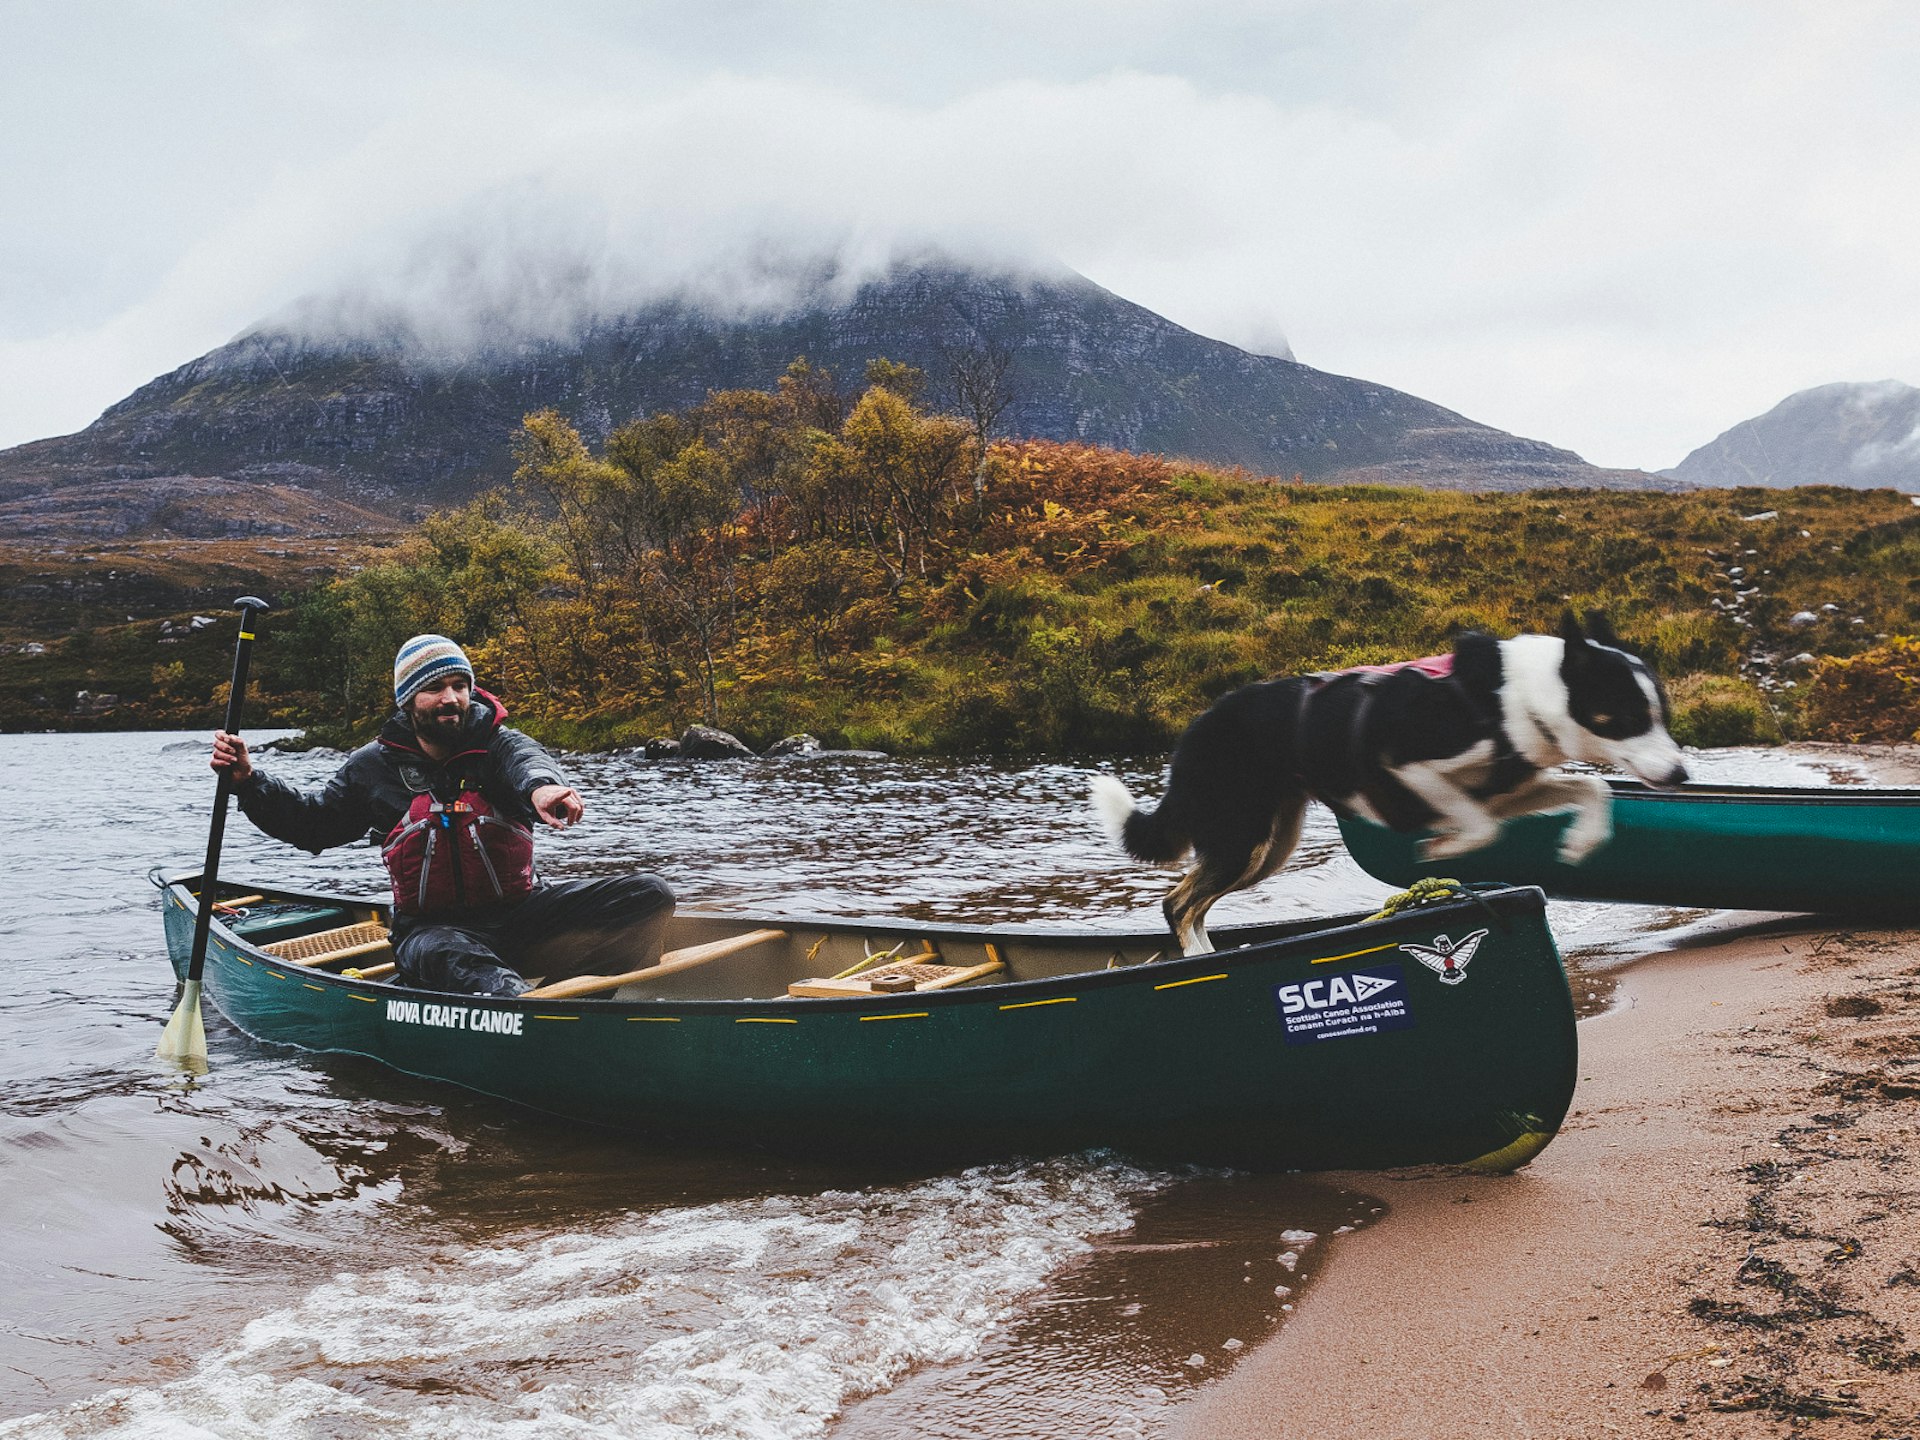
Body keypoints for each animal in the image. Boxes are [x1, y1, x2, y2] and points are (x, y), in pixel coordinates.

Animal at [1090, 610, 1689, 960]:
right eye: (1629, 716)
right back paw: (1200, 959)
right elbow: (1478, 826)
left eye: (1661, 713)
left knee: (1191, 901)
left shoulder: (1509, 788)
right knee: (1177, 903)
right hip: (1242, 834)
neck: (1510, 697)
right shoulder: (1405, 765)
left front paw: (1581, 842)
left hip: (1268, 844)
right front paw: (1441, 847)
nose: (1682, 775)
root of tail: (1195, 727)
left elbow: (1592, 792)